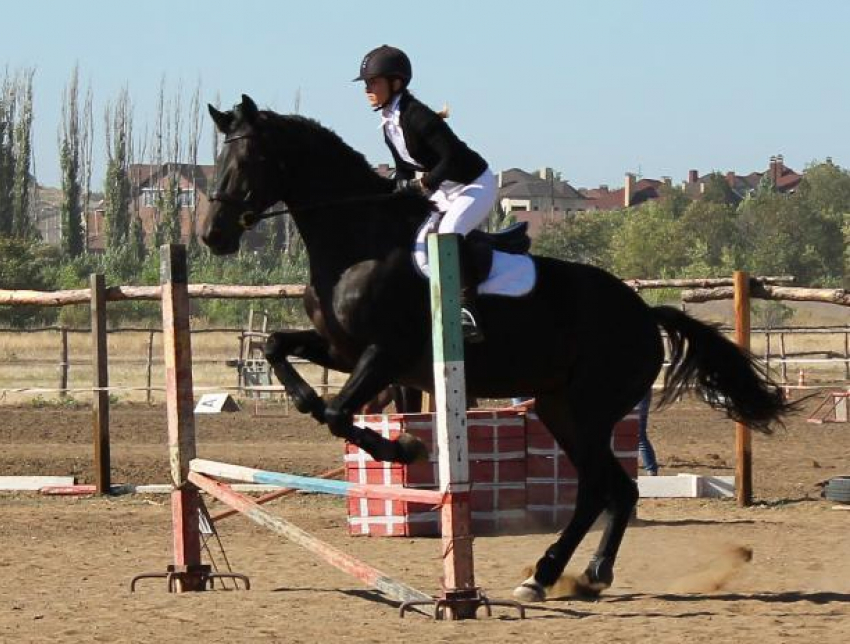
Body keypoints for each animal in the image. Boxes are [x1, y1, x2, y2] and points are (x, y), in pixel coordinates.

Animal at [202, 95, 784, 604]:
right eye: (218, 159)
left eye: (249, 159)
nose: (212, 236)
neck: (356, 242)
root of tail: (644, 313)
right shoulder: (342, 350)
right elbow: (284, 360)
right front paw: (382, 441)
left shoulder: (385, 355)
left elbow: (338, 412)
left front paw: (404, 450)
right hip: (558, 406)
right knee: (607, 489)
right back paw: (568, 575)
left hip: (589, 408)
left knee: (603, 488)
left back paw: (561, 574)